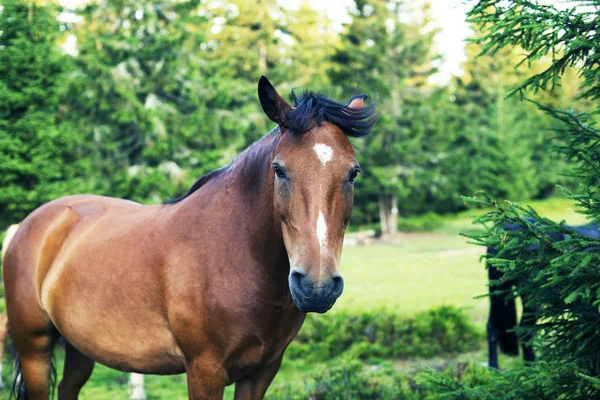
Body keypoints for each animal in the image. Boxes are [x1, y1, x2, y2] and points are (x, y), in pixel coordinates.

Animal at [2, 76, 376, 398]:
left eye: (353, 173)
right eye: (279, 169)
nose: (317, 286)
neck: (234, 254)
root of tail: (28, 225)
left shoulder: (261, 372)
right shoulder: (204, 371)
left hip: (80, 349)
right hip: (35, 349)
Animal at [488, 219, 600, 368]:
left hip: (498, 292)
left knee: (492, 326)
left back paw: (494, 368)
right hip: (532, 298)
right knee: (524, 328)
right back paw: (531, 365)